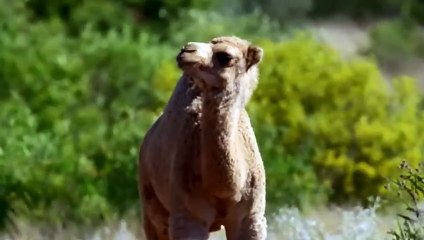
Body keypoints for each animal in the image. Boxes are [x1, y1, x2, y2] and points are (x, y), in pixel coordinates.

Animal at [138, 35, 264, 240]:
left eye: (225, 57)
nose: (186, 50)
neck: (225, 191)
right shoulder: (189, 216)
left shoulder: (252, 217)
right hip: (149, 199)